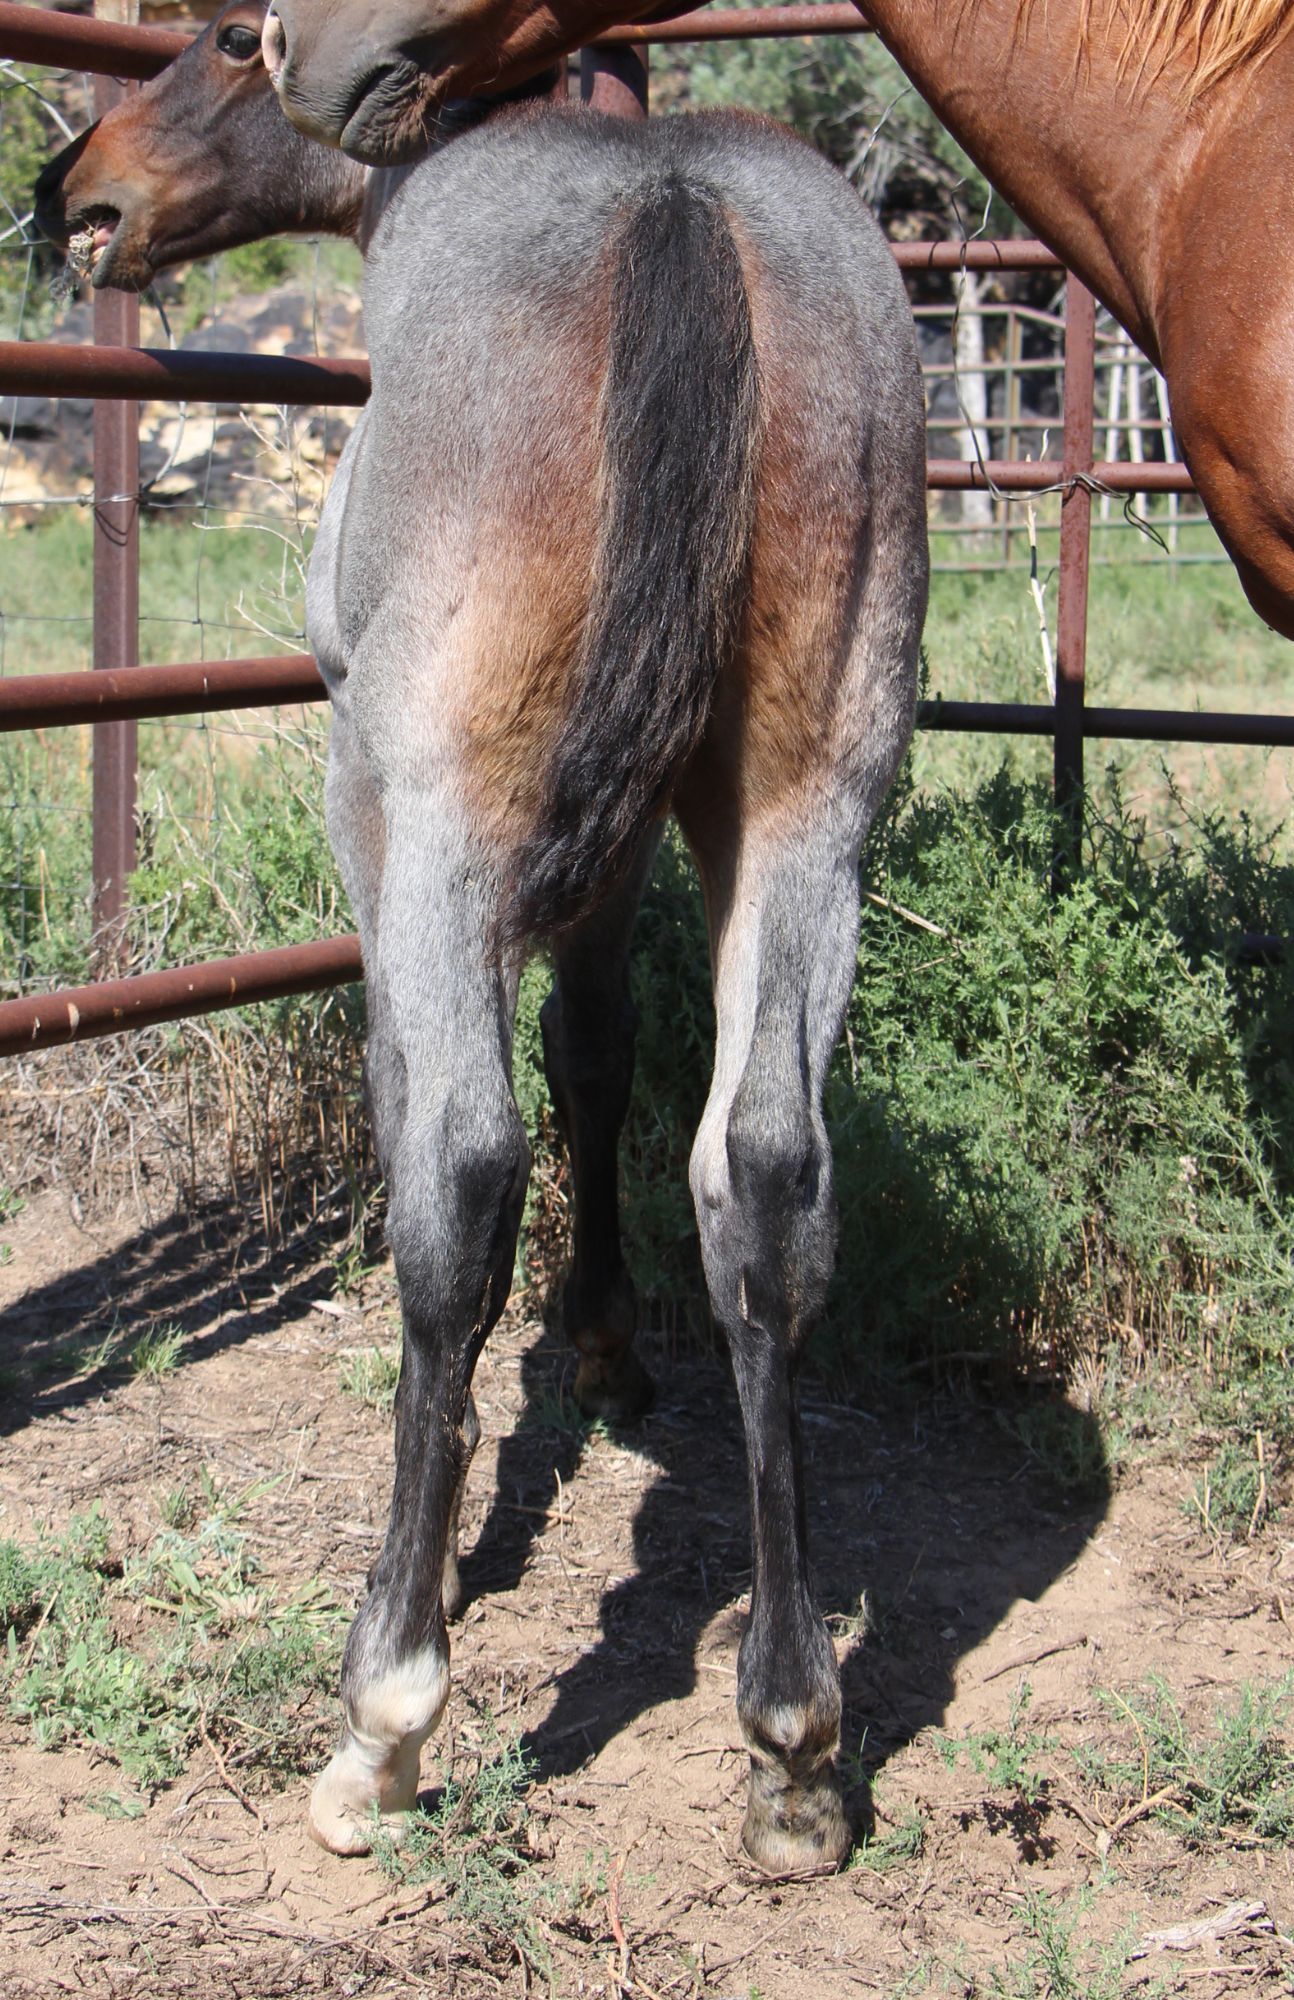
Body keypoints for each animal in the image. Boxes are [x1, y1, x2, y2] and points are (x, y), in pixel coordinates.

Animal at [36, 0, 930, 1873]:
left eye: (223, 34)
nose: (81, 190)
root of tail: (679, 210)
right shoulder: (626, 844)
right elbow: (597, 1060)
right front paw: (601, 1339)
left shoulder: (381, 819)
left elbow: (423, 1122)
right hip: (809, 804)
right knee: (763, 1174)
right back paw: (791, 1742)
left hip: (451, 814)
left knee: (457, 1171)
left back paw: (384, 1719)